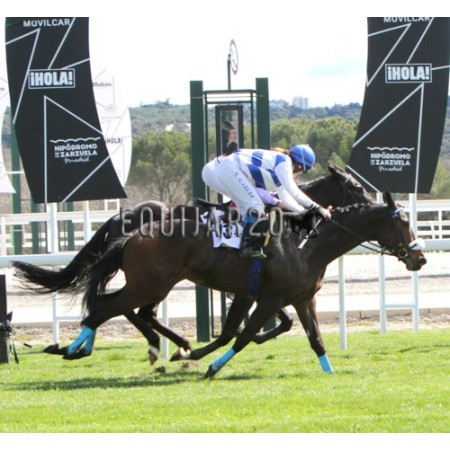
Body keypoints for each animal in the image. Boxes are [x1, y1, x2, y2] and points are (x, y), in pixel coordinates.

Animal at [13, 164, 374, 363]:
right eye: (356, 187)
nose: (374, 202)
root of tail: (120, 220)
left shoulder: (259, 287)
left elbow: (280, 322)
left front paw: (250, 335)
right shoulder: (258, 285)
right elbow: (272, 321)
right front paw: (247, 336)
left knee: (133, 309)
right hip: (154, 281)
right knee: (126, 307)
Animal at [23, 191, 425, 378]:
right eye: (403, 223)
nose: (419, 258)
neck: (307, 245)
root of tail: (131, 235)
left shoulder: (300, 299)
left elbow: (314, 339)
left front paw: (330, 373)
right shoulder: (268, 297)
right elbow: (242, 335)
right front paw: (209, 365)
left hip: (153, 285)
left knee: (122, 309)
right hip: (149, 285)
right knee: (107, 307)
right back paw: (74, 347)